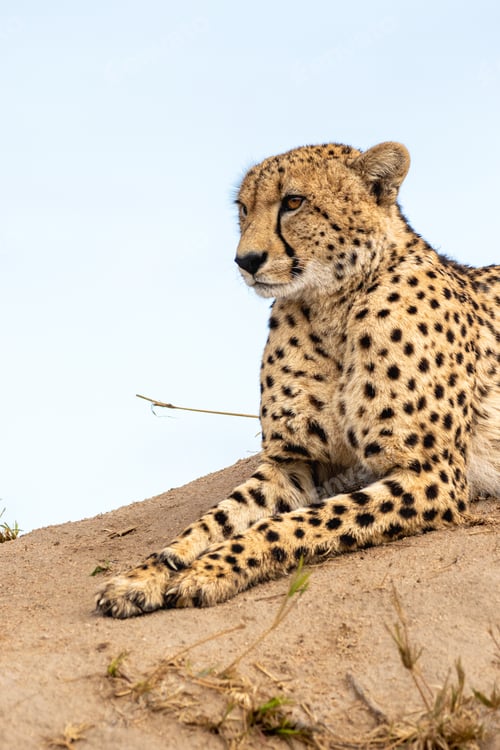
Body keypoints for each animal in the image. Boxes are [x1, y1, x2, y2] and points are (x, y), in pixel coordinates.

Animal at [97, 140, 500, 618]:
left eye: (293, 202)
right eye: (243, 208)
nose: (246, 260)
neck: (333, 307)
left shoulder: (429, 473)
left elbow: (293, 523)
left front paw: (210, 570)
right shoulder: (292, 461)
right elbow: (216, 518)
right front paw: (147, 573)